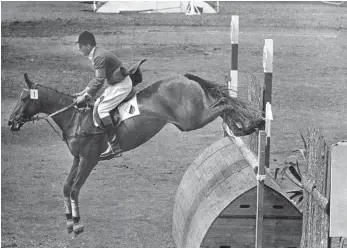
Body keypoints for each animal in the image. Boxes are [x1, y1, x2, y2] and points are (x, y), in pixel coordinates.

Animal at [7, 72, 264, 236]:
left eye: (23, 98)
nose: (10, 122)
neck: (75, 118)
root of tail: (183, 77)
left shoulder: (89, 160)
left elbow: (74, 188)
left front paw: (77, 224)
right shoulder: (77, 159)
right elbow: (66, 187)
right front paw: (69, 220)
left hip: (191, 120)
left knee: (223, 104)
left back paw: (250, 124)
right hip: (189, 121)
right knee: (222, 105)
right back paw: (242, 127)